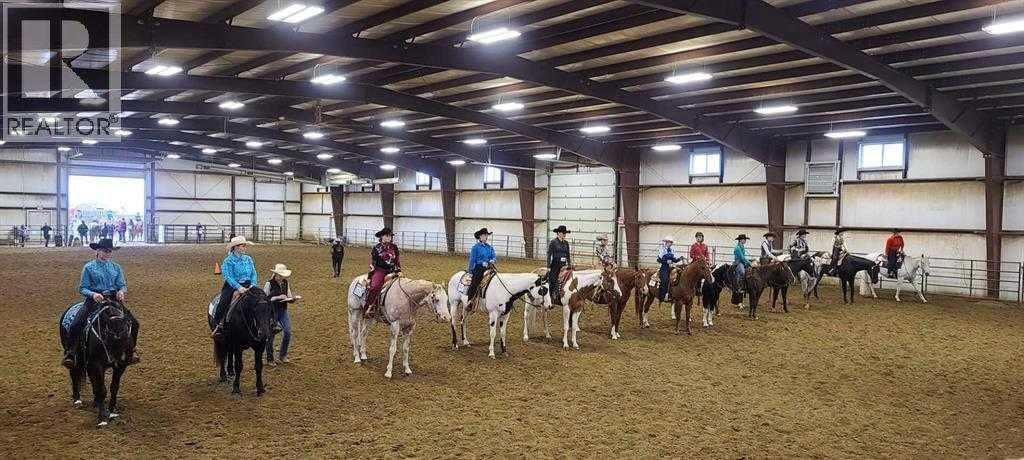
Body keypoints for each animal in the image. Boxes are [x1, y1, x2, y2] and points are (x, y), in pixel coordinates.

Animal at [59, 297, 137, 426]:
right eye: (108, 334)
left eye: (127, 335)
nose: (116, 358)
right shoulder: (96, 364)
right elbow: (101, 390)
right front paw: (102, 418)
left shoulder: (120, 366)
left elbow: (114, 387)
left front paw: (111, 412)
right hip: (76, 356)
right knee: (74, 373)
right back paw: (77, 400)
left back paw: (95, 402)